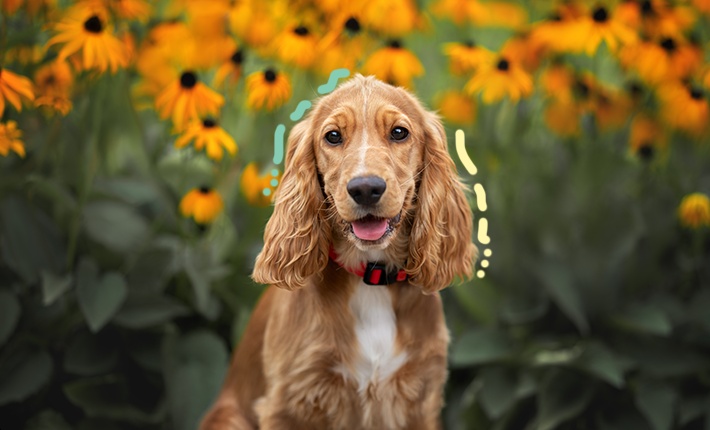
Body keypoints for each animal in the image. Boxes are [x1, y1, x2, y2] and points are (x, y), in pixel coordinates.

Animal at [200, 74, 478, 430]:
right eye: (333, 136)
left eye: (399, 132)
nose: (366, 188)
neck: (370, 276)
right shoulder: (289, 402)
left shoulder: (420, 397)